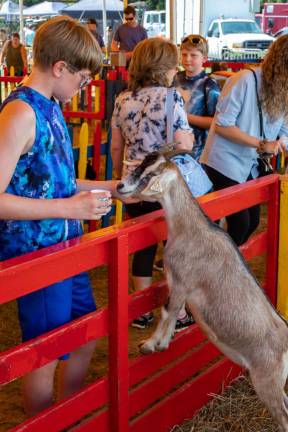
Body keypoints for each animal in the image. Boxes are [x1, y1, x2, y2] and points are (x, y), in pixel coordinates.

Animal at [116, 150, 288, 430]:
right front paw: (163, 342)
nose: (120, 186)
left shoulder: (182, 281)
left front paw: (150, 345)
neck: (190, 228)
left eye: (151, 174)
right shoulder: (179, 286)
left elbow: (167, 311)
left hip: (267, 382)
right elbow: (172, 312)